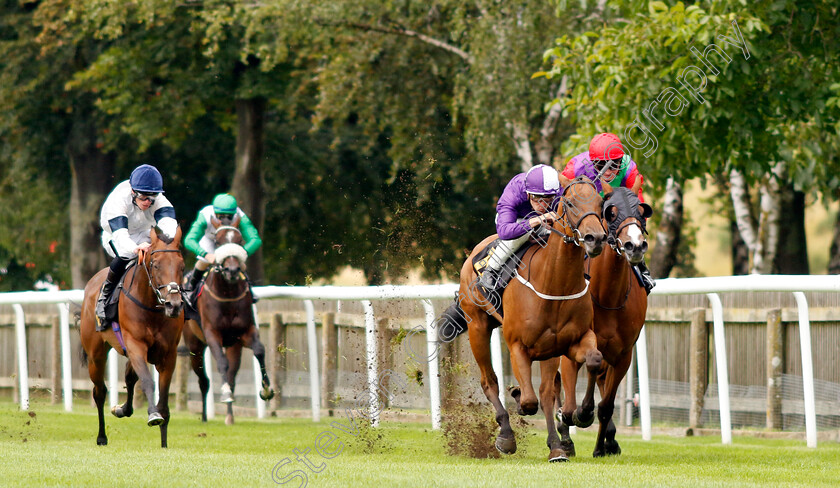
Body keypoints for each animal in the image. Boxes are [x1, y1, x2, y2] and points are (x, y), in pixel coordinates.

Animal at [79, 227, 185, 448]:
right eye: (155, 264)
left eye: (182, 266)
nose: (174, 305)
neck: (152, 308)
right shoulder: (136, 345)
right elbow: (147, 381)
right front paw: (153, 415)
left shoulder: (168, 354)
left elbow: (163, 398)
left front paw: (164, 443)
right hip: (96, 354)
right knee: (99, 392)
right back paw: (101, 437)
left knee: (129, 376)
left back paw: (122, 410)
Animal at [184, 215, 276, 426]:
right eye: (218, 242)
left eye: (240, 240)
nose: (233, 270)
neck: (227, 293)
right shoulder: (212, 333)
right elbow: (221, 362)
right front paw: (224, 392)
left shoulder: (245, 332)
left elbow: (259, 350)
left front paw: (267, 389)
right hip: (194, 346)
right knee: (204, 380)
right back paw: (204, 416)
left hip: (234, 346)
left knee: (232, 376)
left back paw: (229, 416)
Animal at [450, 178, 608, 462]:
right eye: (570, 203)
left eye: (601, 203)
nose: (596, 238)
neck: (555, 283)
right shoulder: (518, 346)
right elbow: (530, 401)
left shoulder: (569, 342)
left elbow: (591, 361)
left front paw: (581, 416)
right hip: (477, 327)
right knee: (489, 381)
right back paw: (506, 434)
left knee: (549, 389)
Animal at [556, 186, 652, 458]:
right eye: (611, 212)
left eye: (642, 211)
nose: (635, 245)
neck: (609, 296)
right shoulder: (570, 347)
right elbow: (569, 405)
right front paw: (573, 418)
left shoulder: (623, 355)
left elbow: (606, 405)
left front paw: (601, 446)